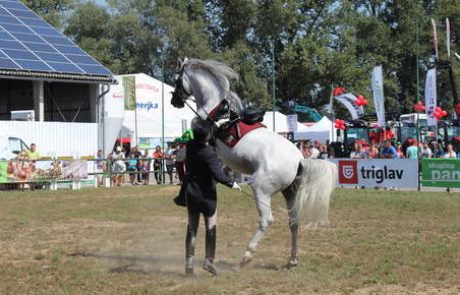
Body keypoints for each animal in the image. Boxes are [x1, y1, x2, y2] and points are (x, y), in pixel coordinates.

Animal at [171, 58, 336, 268]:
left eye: (176, 80)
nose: (174, 101)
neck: (213, 109)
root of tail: (299, 159)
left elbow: (187, 157)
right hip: (290, 192)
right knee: (293, 221)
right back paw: (292, 259)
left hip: (260, 189)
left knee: (267, 220)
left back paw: (246, 256)